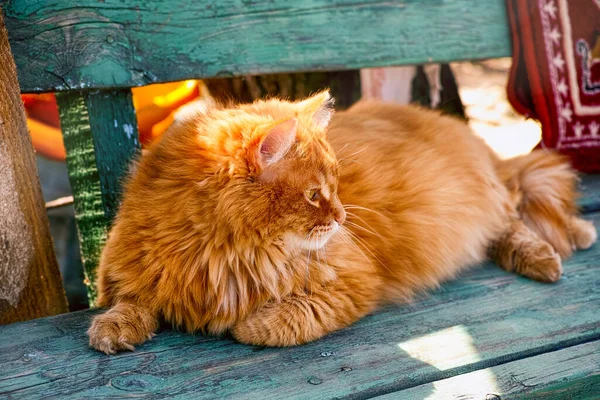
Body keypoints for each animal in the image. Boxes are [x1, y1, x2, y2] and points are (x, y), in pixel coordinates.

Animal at [88, 90, 596, 354]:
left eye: (335, 184)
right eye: (315, 194)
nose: (342, 216)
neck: (222, 254)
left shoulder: (352, 282)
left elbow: (274, 322)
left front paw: (241, 323)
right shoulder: (134, 270)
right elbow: (131, 302)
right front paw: (113, 329)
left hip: (489, 200)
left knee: (515, 218)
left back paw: (560, 248)